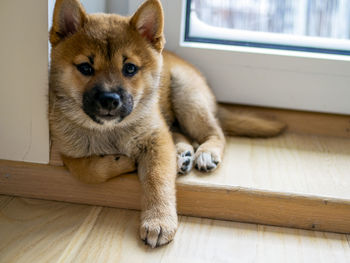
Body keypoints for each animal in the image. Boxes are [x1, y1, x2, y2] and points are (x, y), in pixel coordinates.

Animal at [48, 0, 284, 249]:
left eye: (130, 68)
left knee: (215, 133)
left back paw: (205, 153)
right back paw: (182, 155)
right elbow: (88, 171)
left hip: (187, 98)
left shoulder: (156, 140)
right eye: (85, 68)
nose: (110, 100)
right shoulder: (67, 152)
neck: (110, 130)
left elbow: (157, 179)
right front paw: (123, 161)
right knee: (180, 135)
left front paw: (158, 221)